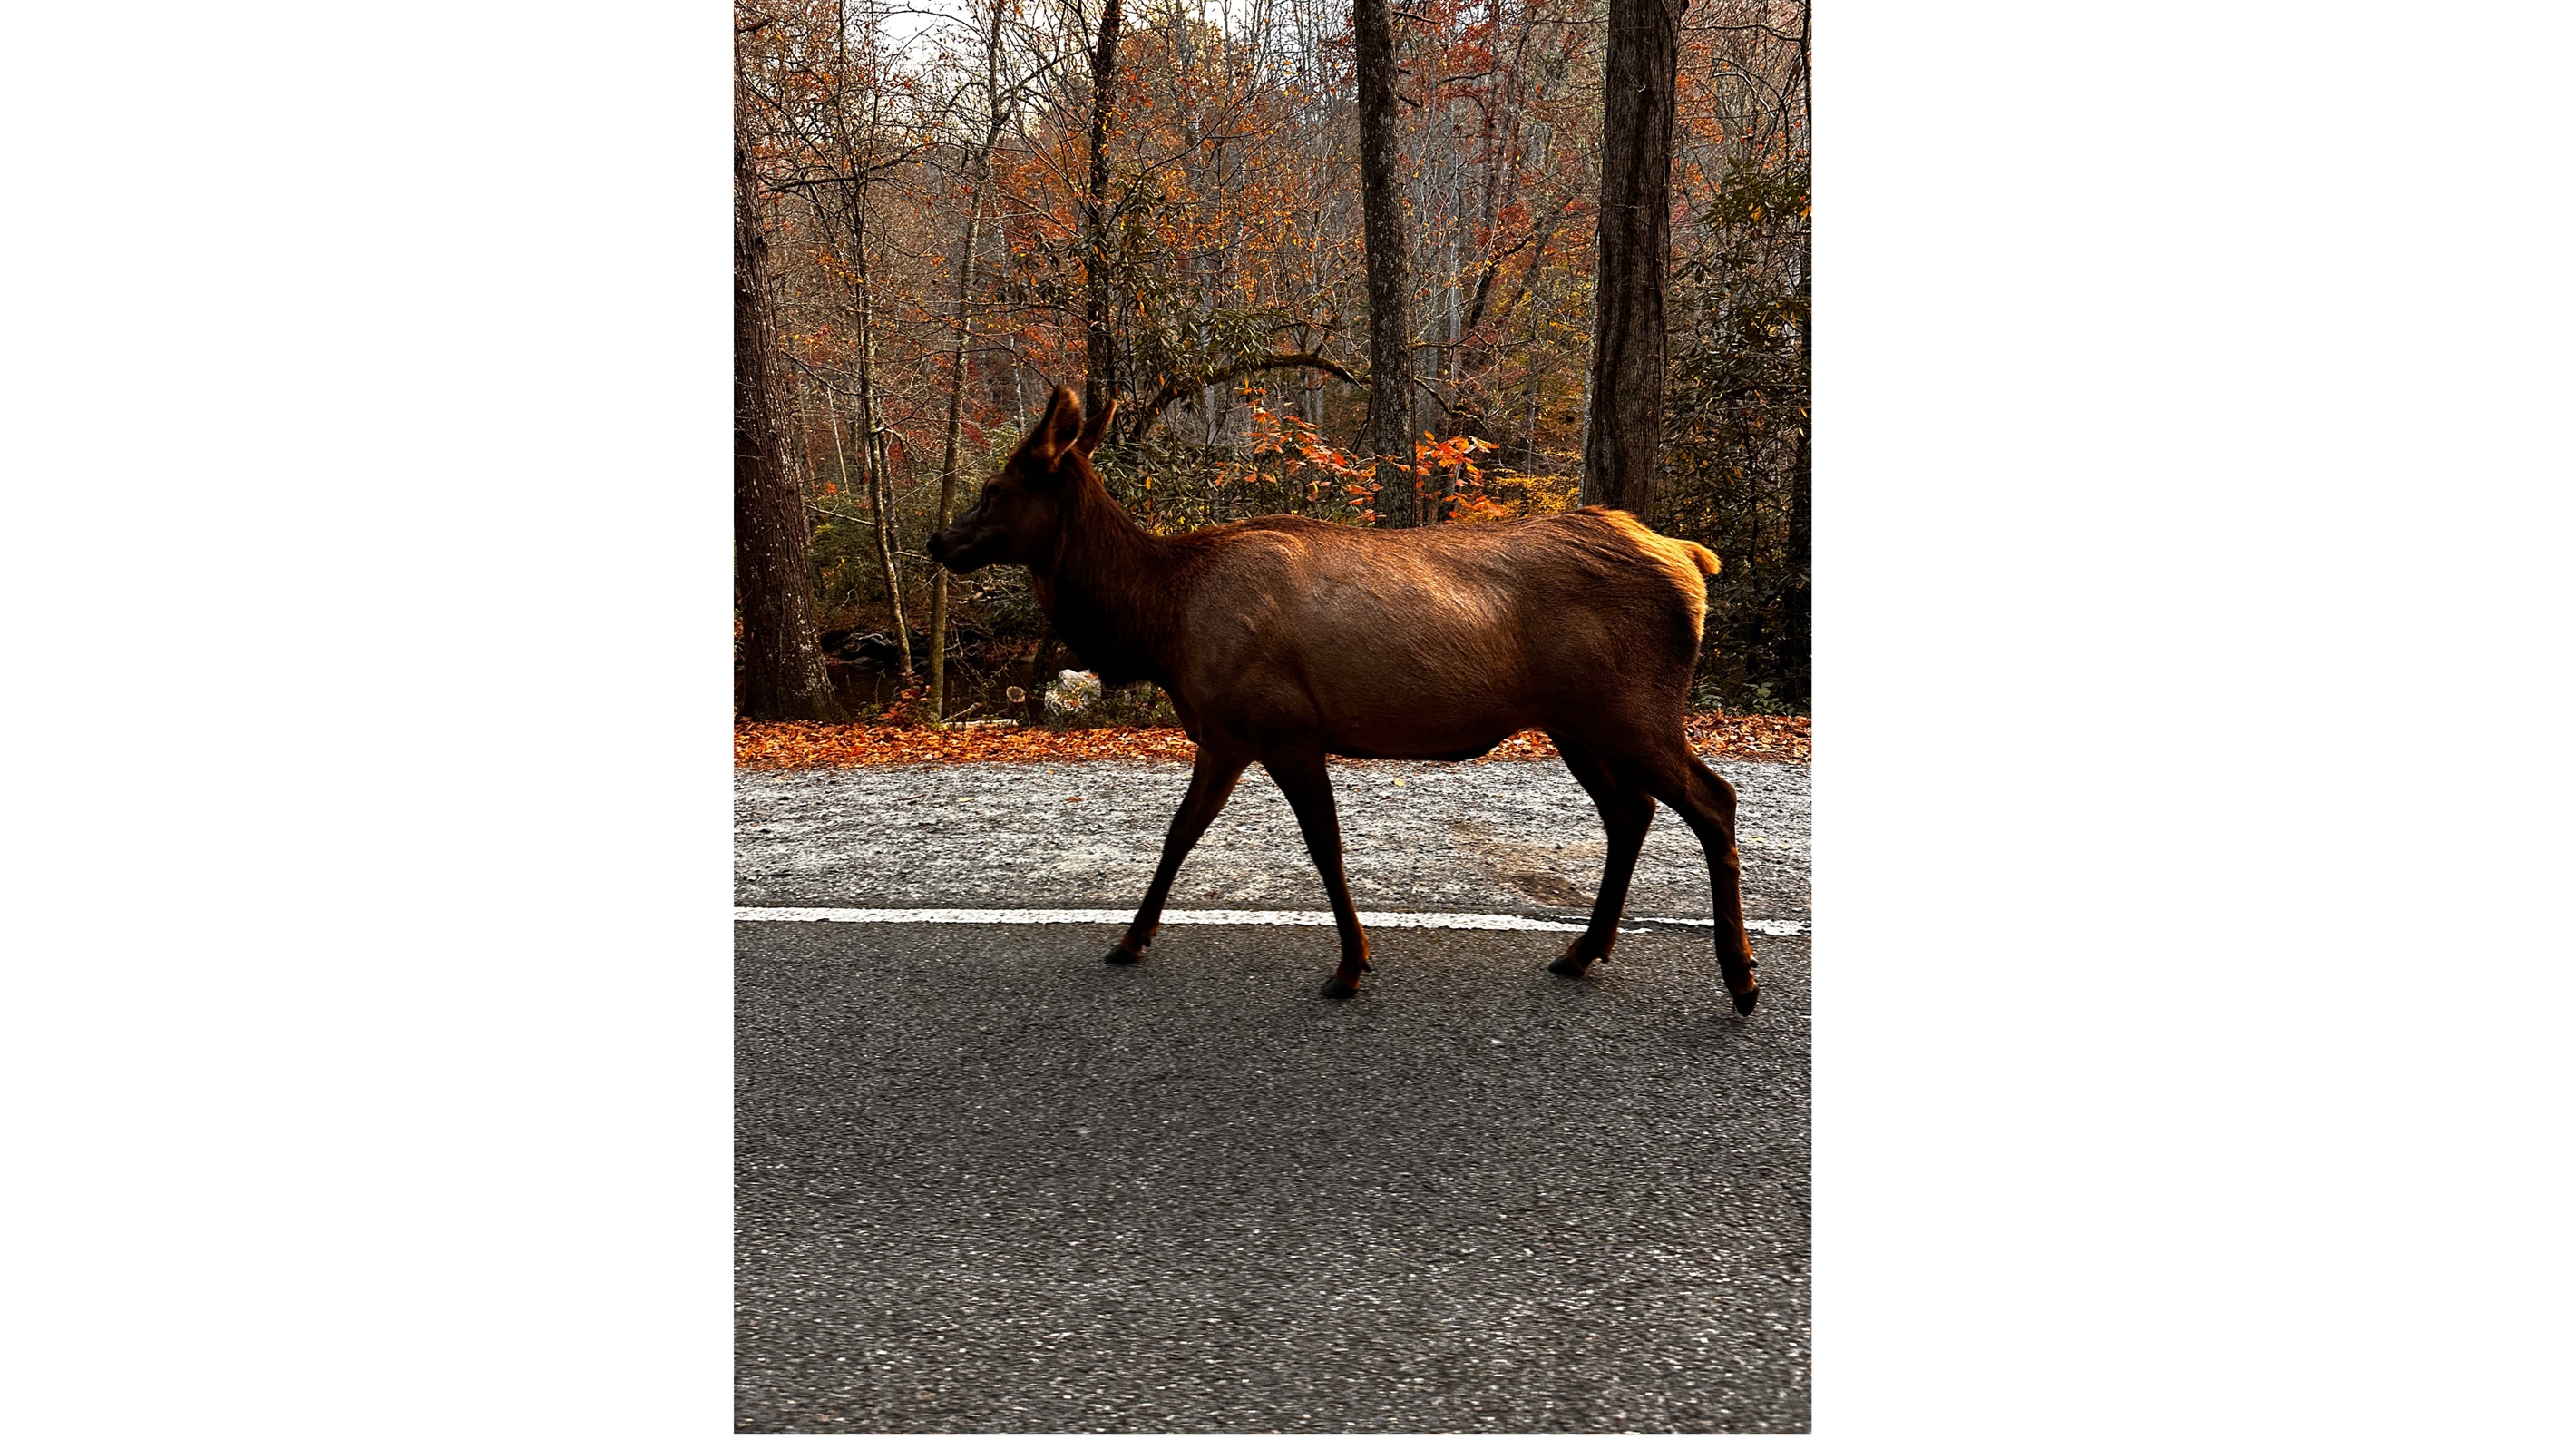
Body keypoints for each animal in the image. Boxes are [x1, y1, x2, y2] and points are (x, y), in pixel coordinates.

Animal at [926, 386, 1761, 1014]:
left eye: (995, 489)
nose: (938, 541)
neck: (1160, 624)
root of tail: (1694, 561)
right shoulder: (1226, 737)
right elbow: (1178, 835)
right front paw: (1131, 938)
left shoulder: (1285, 727)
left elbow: (1323, 845)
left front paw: (1351, 965)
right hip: (1576, 722)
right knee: (1633, 812)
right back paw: (1583, 951)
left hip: (1631, 709)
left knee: (1713, 800)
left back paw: (1740, 977)